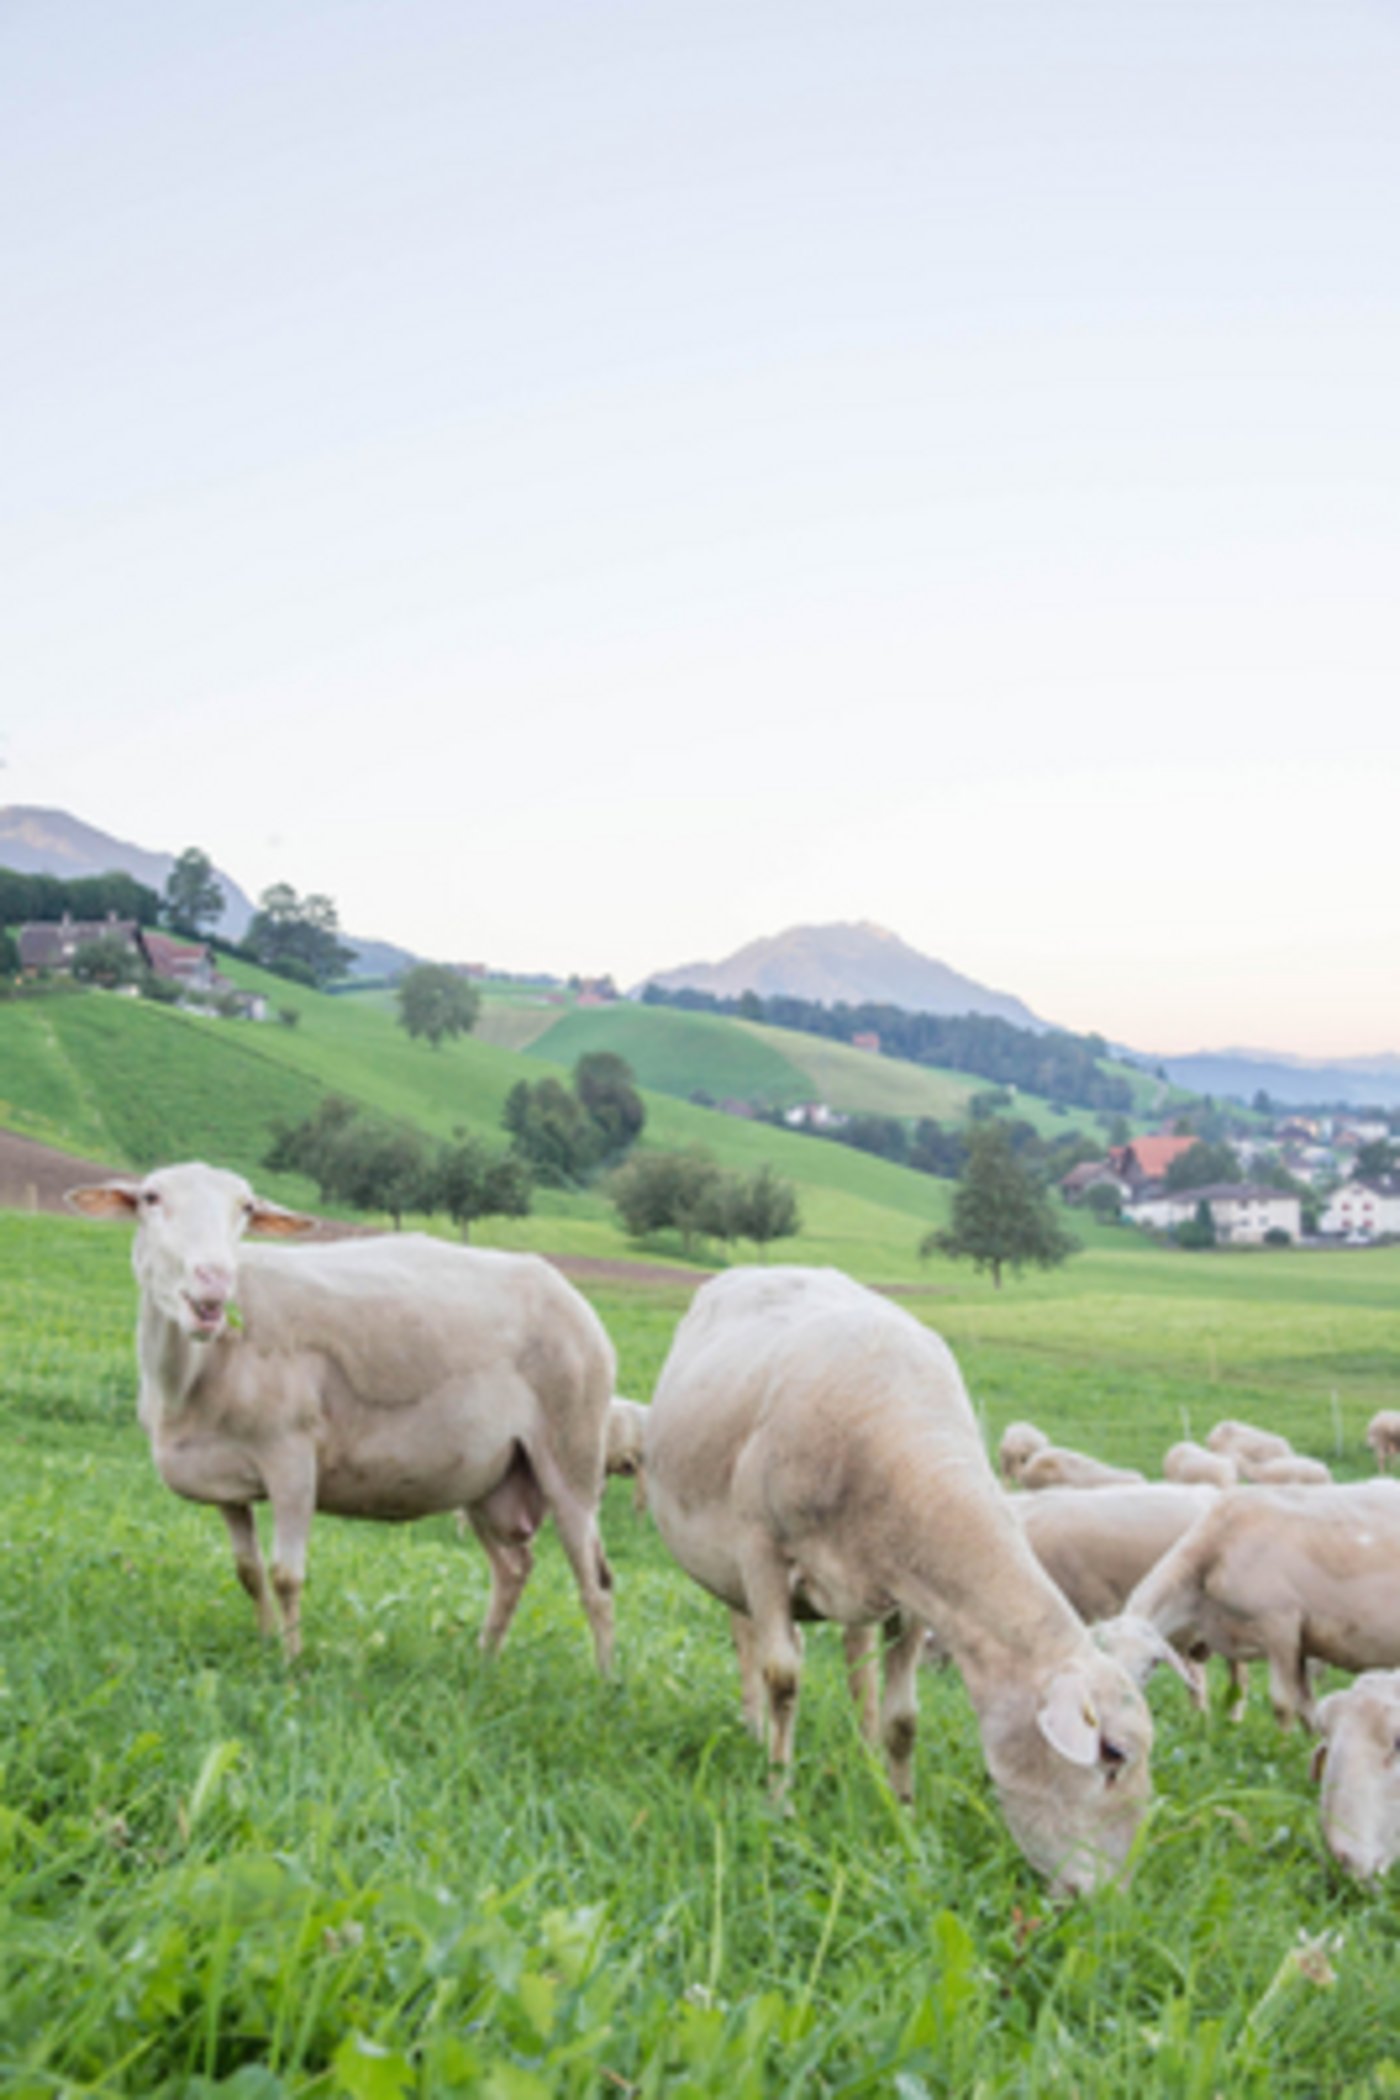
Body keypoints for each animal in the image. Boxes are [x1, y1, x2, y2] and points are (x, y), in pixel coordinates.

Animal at [67, 1161, 617, 1667]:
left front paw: (290, 1664)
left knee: (596, 1585)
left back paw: (605, 1683)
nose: (214, 1281)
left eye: (246, 1207)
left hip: (573, 1453)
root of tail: (568, 1293)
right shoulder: (227, 1481)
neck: (195, 1371)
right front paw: (264, 1642)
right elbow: (248, 1572)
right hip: (489, 1476)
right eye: (151, 1198)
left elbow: (286, 1576)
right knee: (513, 1567)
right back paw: (483, 1662)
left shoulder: (291, 1459)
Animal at [1122, 1480, 1400, 1731]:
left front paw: (1283, 1745)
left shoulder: (1280, 1624)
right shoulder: (1300, 1640)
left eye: (1150, 1665)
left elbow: (1283, 1703)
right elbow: (1307, 1709)